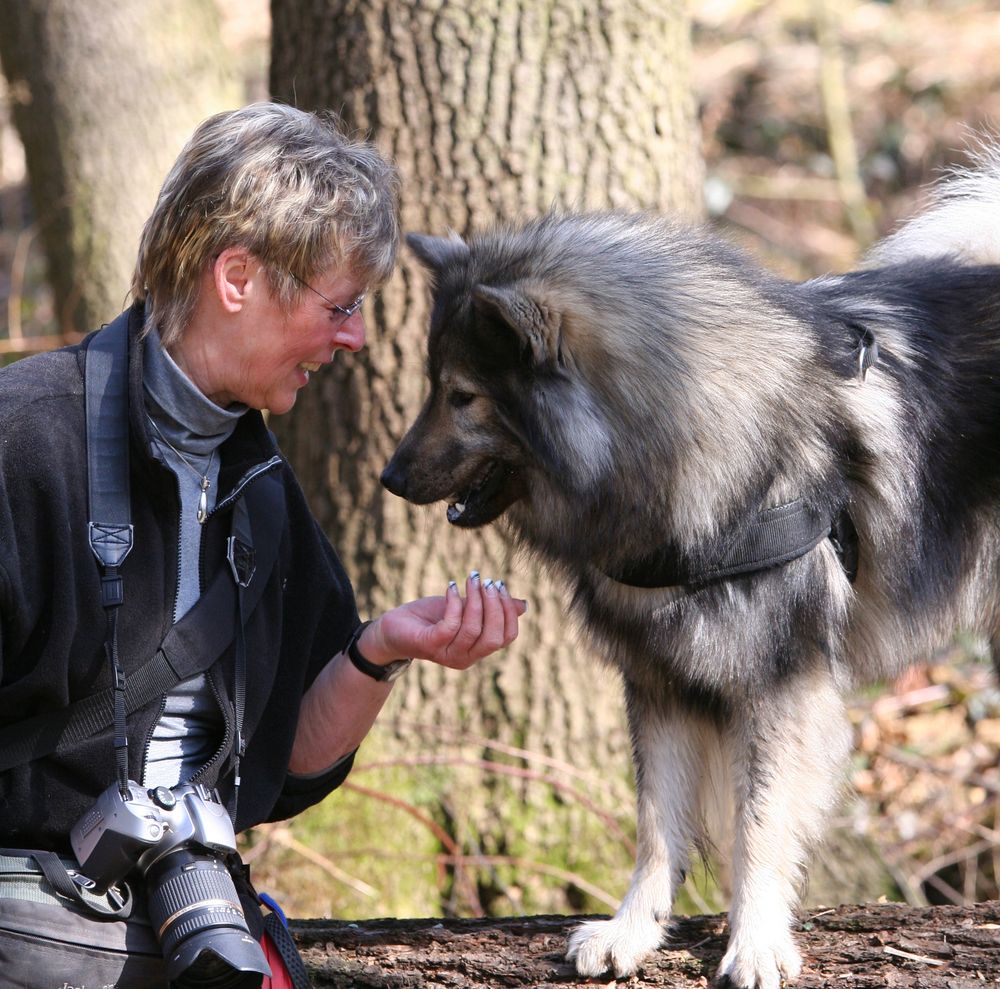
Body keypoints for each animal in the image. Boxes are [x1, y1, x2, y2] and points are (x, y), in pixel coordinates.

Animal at [378, 147, 1000, 988]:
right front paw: (633, 929)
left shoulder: (778, 683)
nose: (390, 477)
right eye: (432, 387)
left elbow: (758, 820)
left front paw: (757, 936)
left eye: (463, 395)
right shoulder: (660, 679)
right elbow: (655, 822)